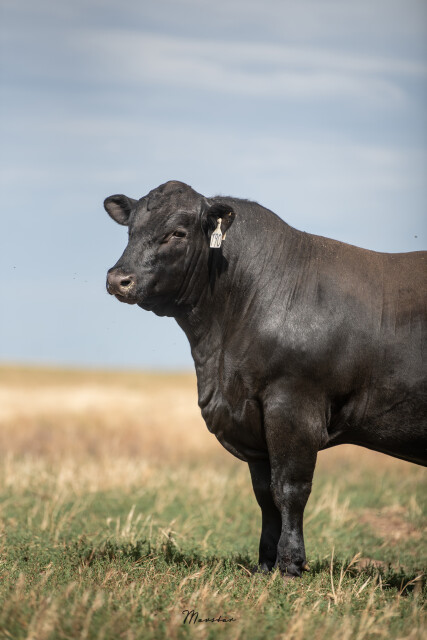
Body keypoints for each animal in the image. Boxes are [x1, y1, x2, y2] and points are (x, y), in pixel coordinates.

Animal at [104, 180, 427, 577]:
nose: (118, 279)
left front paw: (290, 564)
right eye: (131, 230)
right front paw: (265, 564)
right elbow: (265, 494)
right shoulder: (252, 419)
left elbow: (289, 488)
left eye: (177, 232)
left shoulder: (293, 407)